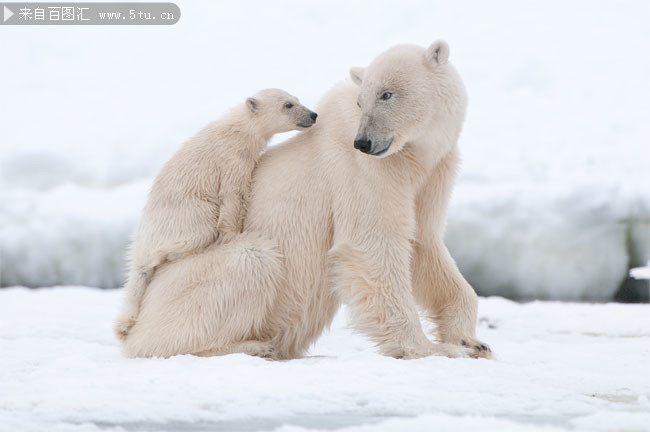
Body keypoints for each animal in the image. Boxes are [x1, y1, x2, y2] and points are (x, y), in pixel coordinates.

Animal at [121, 40, 488, 360]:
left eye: (387, 94)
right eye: (361, 101)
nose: (364, 142)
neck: (412, 155)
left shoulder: (432, 173)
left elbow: (423, 244)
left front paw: (471, 341)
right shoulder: (364, 172)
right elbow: (372, 245)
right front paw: (433, 349)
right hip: (188, 282)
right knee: (250, 260)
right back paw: (252, 345)